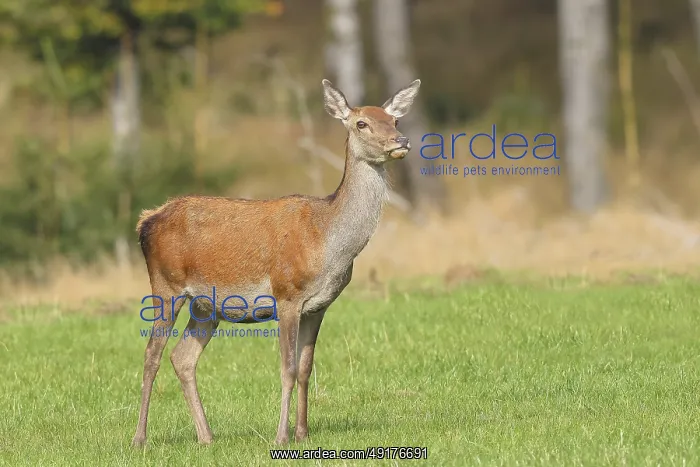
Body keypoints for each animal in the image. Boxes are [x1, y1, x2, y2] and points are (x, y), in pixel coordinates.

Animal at [131, 77, 421, 447]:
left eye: (395, 120)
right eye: (361, 123)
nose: (401, 141)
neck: (327, 242)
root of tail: (145, 221)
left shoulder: (319, 305)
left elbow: (306, 369)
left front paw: (303, 433)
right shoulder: (287, 294)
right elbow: (288, 368)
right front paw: (281, 436)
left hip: (205, 305)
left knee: (181, 357)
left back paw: (207, 436)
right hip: (166, 285)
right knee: (151, 354)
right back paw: (140, 438)